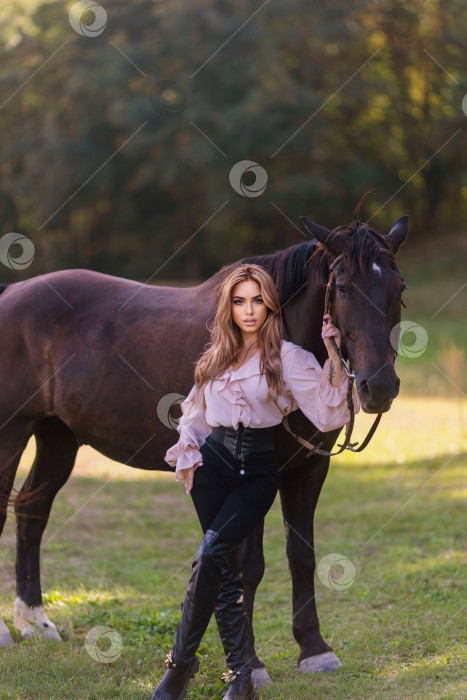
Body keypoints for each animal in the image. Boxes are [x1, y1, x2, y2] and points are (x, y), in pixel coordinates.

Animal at [0, 215, 408, 684]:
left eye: (398, 286)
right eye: (341, 287)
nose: (379, 387)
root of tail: (11, 293)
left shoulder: (307, 470)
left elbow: (301, 556)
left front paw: (314, 649)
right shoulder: (254, 479)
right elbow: (250, 566)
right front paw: (252, 663)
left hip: (57, 436)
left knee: (32, 510)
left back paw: (35, 622)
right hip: (11, 432)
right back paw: (8, 632)